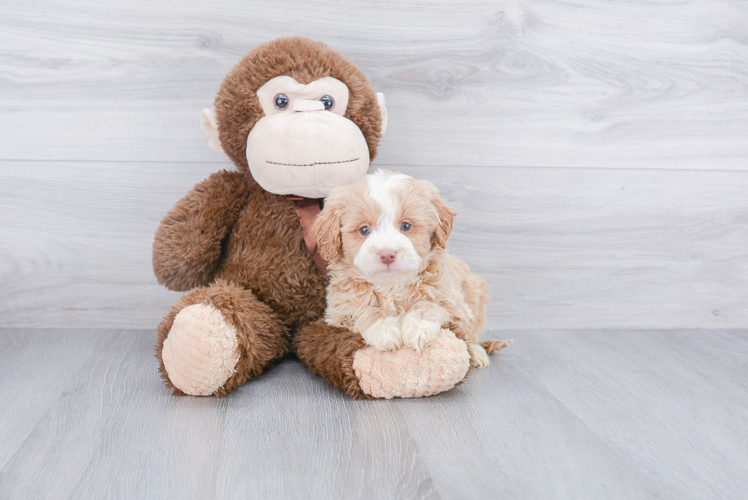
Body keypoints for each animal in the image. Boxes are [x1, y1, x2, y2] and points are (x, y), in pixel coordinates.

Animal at [312, 169, 500, 368]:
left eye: (406, 226)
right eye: (364, 230)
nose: (387, 254)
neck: (392, 286)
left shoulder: (454, 304)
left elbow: (430, 305)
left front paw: (419, 327)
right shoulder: (339, 310)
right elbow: (364, 309)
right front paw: (384, 330)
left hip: (473, 291)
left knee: (472, 334)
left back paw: (478, 353)